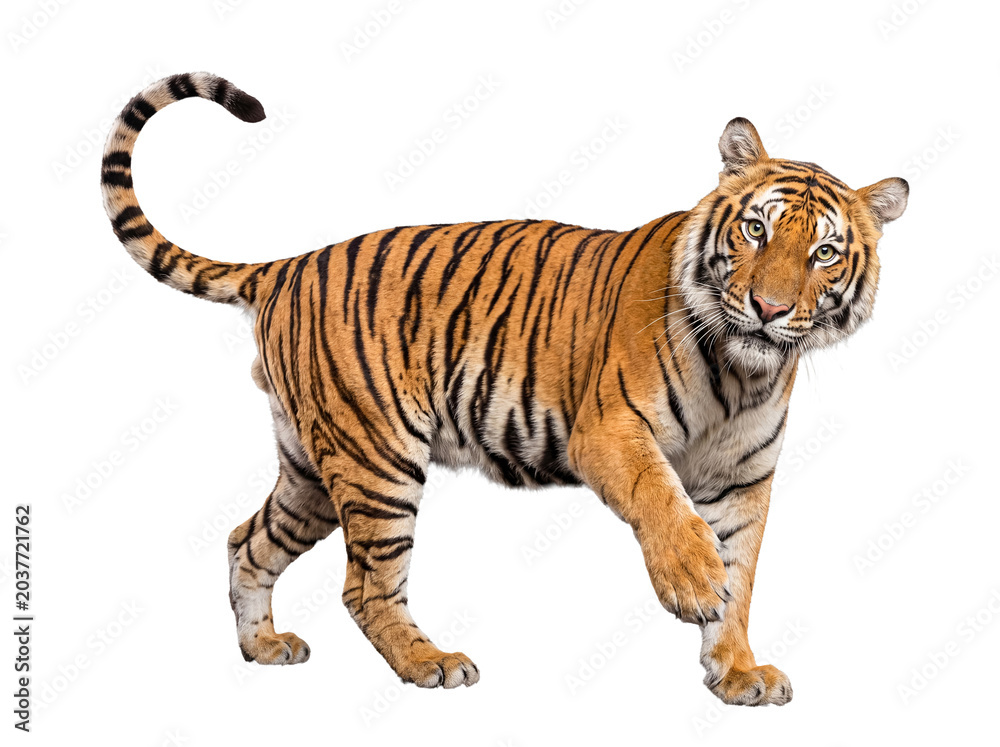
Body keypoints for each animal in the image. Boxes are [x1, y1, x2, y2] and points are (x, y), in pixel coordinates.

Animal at [101, 72, 907, 705]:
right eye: (754, 231)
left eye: (824, 252)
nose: (769, 307)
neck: (745, 373)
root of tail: (287, 264)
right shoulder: (609, 430)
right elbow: (663, 503)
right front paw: (692, 581)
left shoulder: (744, 480)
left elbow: (742, 574)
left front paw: (736, 670)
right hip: (377, 457)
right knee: (364, 584)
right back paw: (430, 663)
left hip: (312, 468)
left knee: (247, 540)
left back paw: (264, 648)